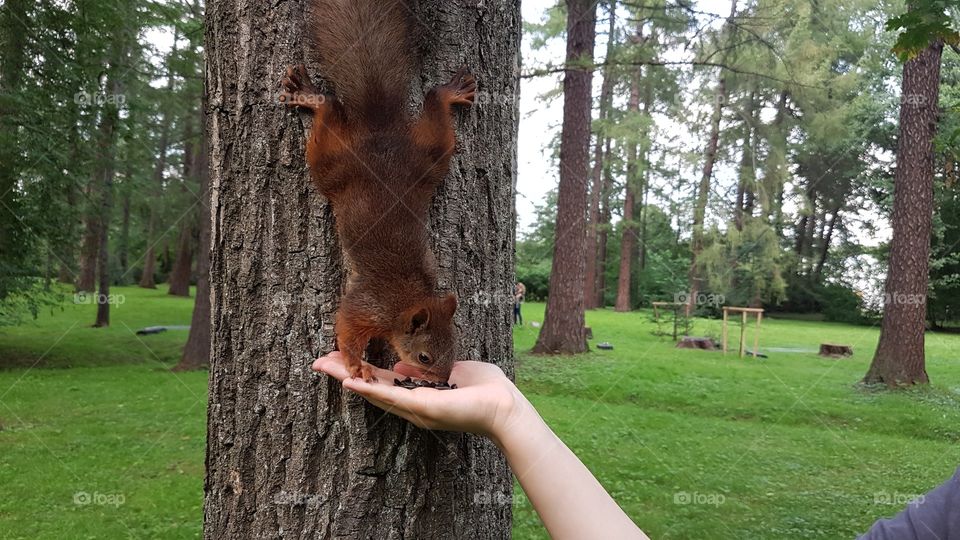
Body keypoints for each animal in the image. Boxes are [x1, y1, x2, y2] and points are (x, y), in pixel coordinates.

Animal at [279, 0, 476, 382]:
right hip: (333, 161)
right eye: (425, 357)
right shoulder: (368, 308)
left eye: (455, 348)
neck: (406, 301)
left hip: (426, 160)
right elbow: (346, 329)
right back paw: (309, 94)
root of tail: (378, 131)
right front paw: (356, 365)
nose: (444, 382)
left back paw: (452, 91)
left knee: (434, 103)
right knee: (328, 109)